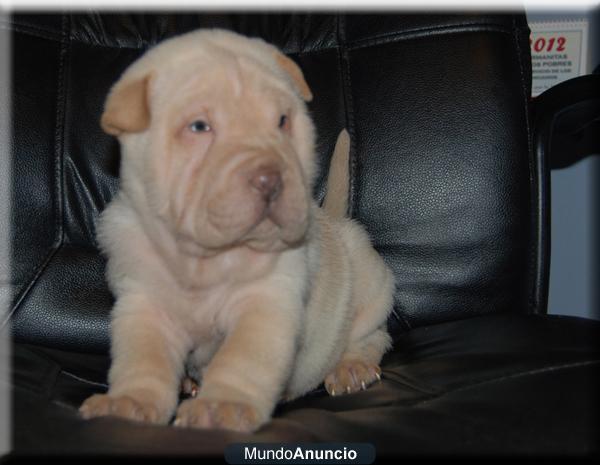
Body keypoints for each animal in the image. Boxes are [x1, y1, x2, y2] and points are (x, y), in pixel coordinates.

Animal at [81, 28, 398, 432]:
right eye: (199, 127)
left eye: (282, 120)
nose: (270, 179)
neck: (203, 261)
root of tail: (338, 221)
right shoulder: (144, 303)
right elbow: (143, 359)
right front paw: (128, 402)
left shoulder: (265, 302)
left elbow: (242, 357)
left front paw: (222, 406)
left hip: (370, 288)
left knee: (372, 335)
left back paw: (351, 367)